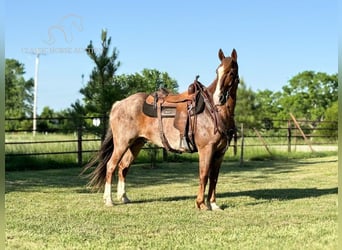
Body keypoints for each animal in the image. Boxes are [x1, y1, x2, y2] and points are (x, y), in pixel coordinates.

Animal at [82, 47, 240, 210]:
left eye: (231, 72)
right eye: (217, 71)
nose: (219, 98)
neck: (213, 110)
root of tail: (118, 104)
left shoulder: (219, 153)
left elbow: (214, 178)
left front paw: (213, 204)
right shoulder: (206, 149)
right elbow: (204, 175)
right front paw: (201, 204)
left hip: (136, 144)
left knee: (123, 167)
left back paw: (124, 197)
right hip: (122, 143)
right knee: (111, 166)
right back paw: (109, 200)